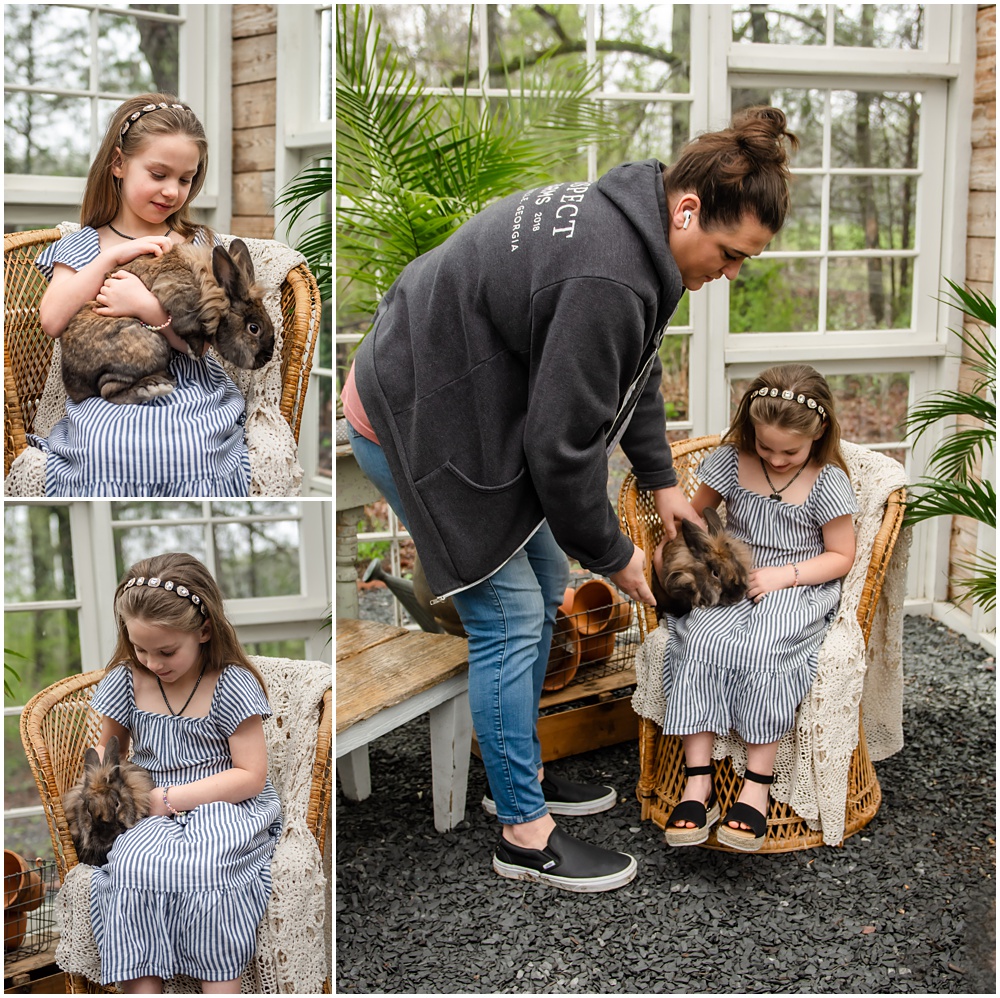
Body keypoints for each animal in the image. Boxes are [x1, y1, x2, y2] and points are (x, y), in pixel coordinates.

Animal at [60, 238, 276, 406]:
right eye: (254, 328)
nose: (266, 358)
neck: (213, 292)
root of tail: (73, 385)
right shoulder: (178, 291)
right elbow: (189, 324)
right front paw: (195, 350)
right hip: (150, 344)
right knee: (108, 390)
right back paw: (153, 388)